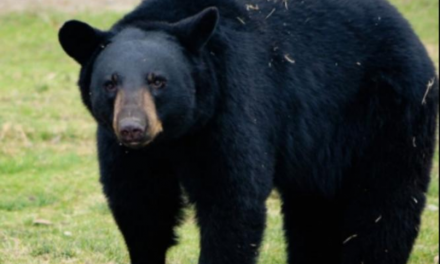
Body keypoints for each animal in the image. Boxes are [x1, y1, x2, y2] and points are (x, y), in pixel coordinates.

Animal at [57, 0, 436, 262]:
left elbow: (231, 199)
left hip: (390, 114)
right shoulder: (125, 151)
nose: (133, 128)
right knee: (313, 210)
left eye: (158, 80)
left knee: (386, 203)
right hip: (320, 149)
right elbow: (140, 207)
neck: (175, 136)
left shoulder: (232, 107)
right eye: (109, 83)